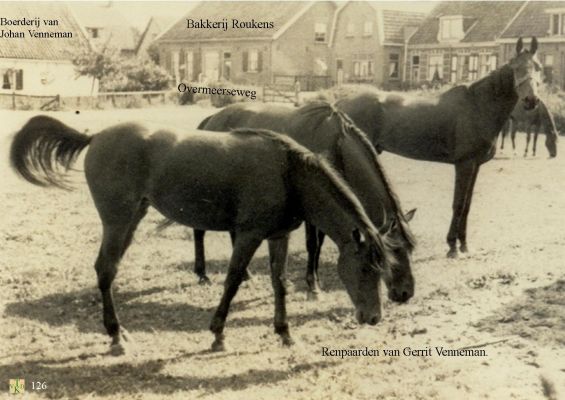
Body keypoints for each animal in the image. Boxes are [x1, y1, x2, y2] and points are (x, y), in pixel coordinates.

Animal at [8, 115, 396, 354]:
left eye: (384, 270)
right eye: (366, 269)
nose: (373, 317)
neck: (288, 173)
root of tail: (96, 136)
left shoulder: (278, 236)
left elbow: (280, 283)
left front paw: (285, 332)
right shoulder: (248, 235)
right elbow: (234, 279)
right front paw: (218, 334)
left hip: (132, 218)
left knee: (107, 270)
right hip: (117, 221)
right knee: (105, 270)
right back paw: (116, 336)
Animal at [196, 101, 416, 302]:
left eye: (409, 249)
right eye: (393, 251)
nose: (405, 293)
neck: (336, 144)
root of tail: (212, 119)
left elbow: (319, 244)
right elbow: (313, 244)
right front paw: (313, 286)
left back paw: (246, 275)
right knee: (200, 230)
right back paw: (202, 275)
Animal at [334, 36, 540, 256]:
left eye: (538, 67)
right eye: (517, 68)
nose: (531, 100)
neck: (477, 105)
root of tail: (340, 104)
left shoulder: (475, 165)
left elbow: (467, 205)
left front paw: (464, 245)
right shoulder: (464, 164)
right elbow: (458, 204)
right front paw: (452, 247)